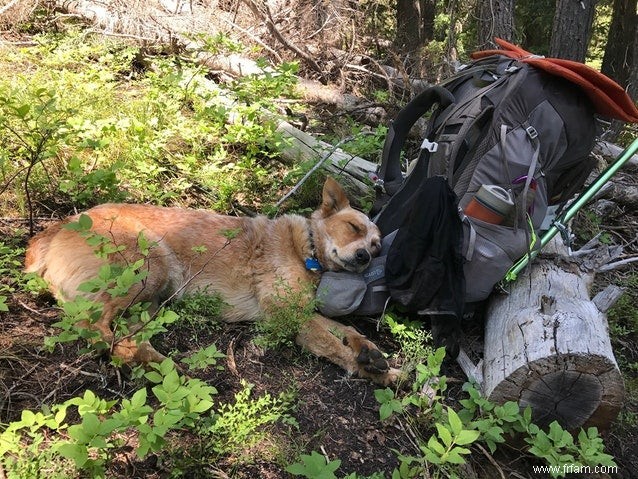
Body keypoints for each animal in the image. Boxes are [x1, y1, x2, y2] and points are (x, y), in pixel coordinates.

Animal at [27, 178, 402, 384]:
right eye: (353, 227)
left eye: (376, 246)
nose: (364, 257)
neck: (305, 248)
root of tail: (56, 228)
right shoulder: (286, 316)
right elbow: (333, 344)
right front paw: (380, 374)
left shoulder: (297, 311)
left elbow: (347, 330)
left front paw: (370, 352)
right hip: (150, 265)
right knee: (93, 327)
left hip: (149, 299)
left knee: (123, 334)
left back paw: (161, 365)